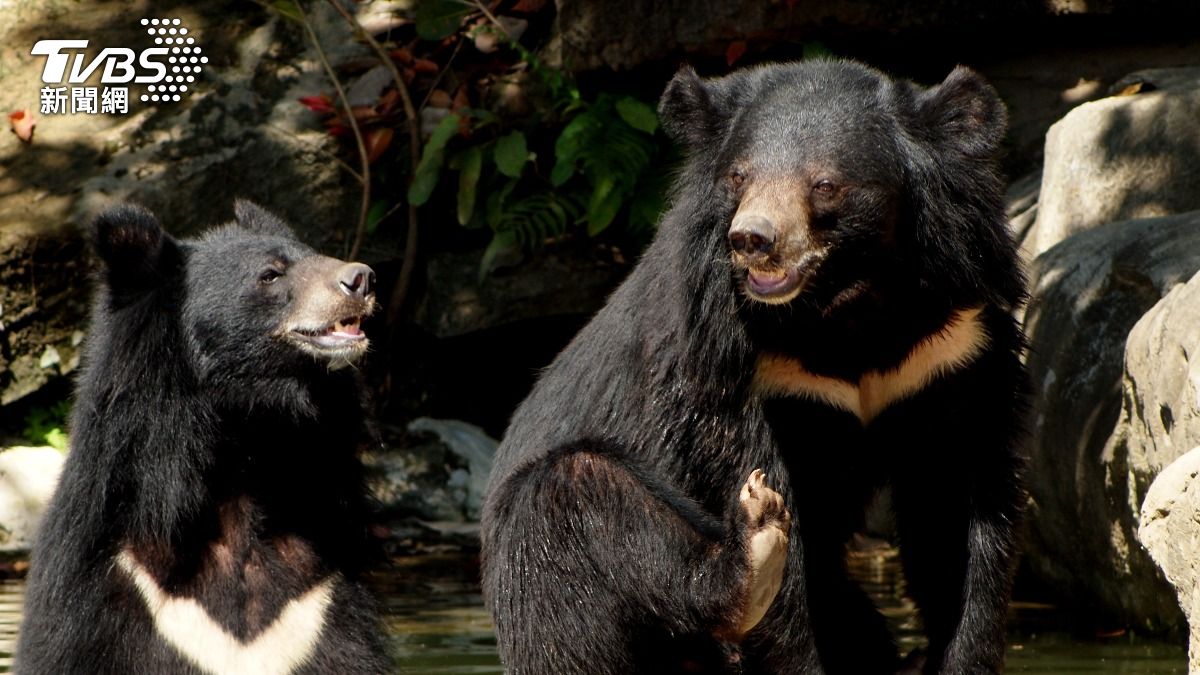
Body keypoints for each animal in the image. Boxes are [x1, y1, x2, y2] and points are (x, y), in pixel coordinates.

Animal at [481, 59, 1029, 675]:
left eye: (825, 184)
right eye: (739, 177)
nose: (752, 239)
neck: (847, 311)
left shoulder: (950, 350)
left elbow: (957, 510)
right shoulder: (739, 373)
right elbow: (763, 493)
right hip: (536, 586)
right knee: (571, 493)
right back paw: (752, 555)